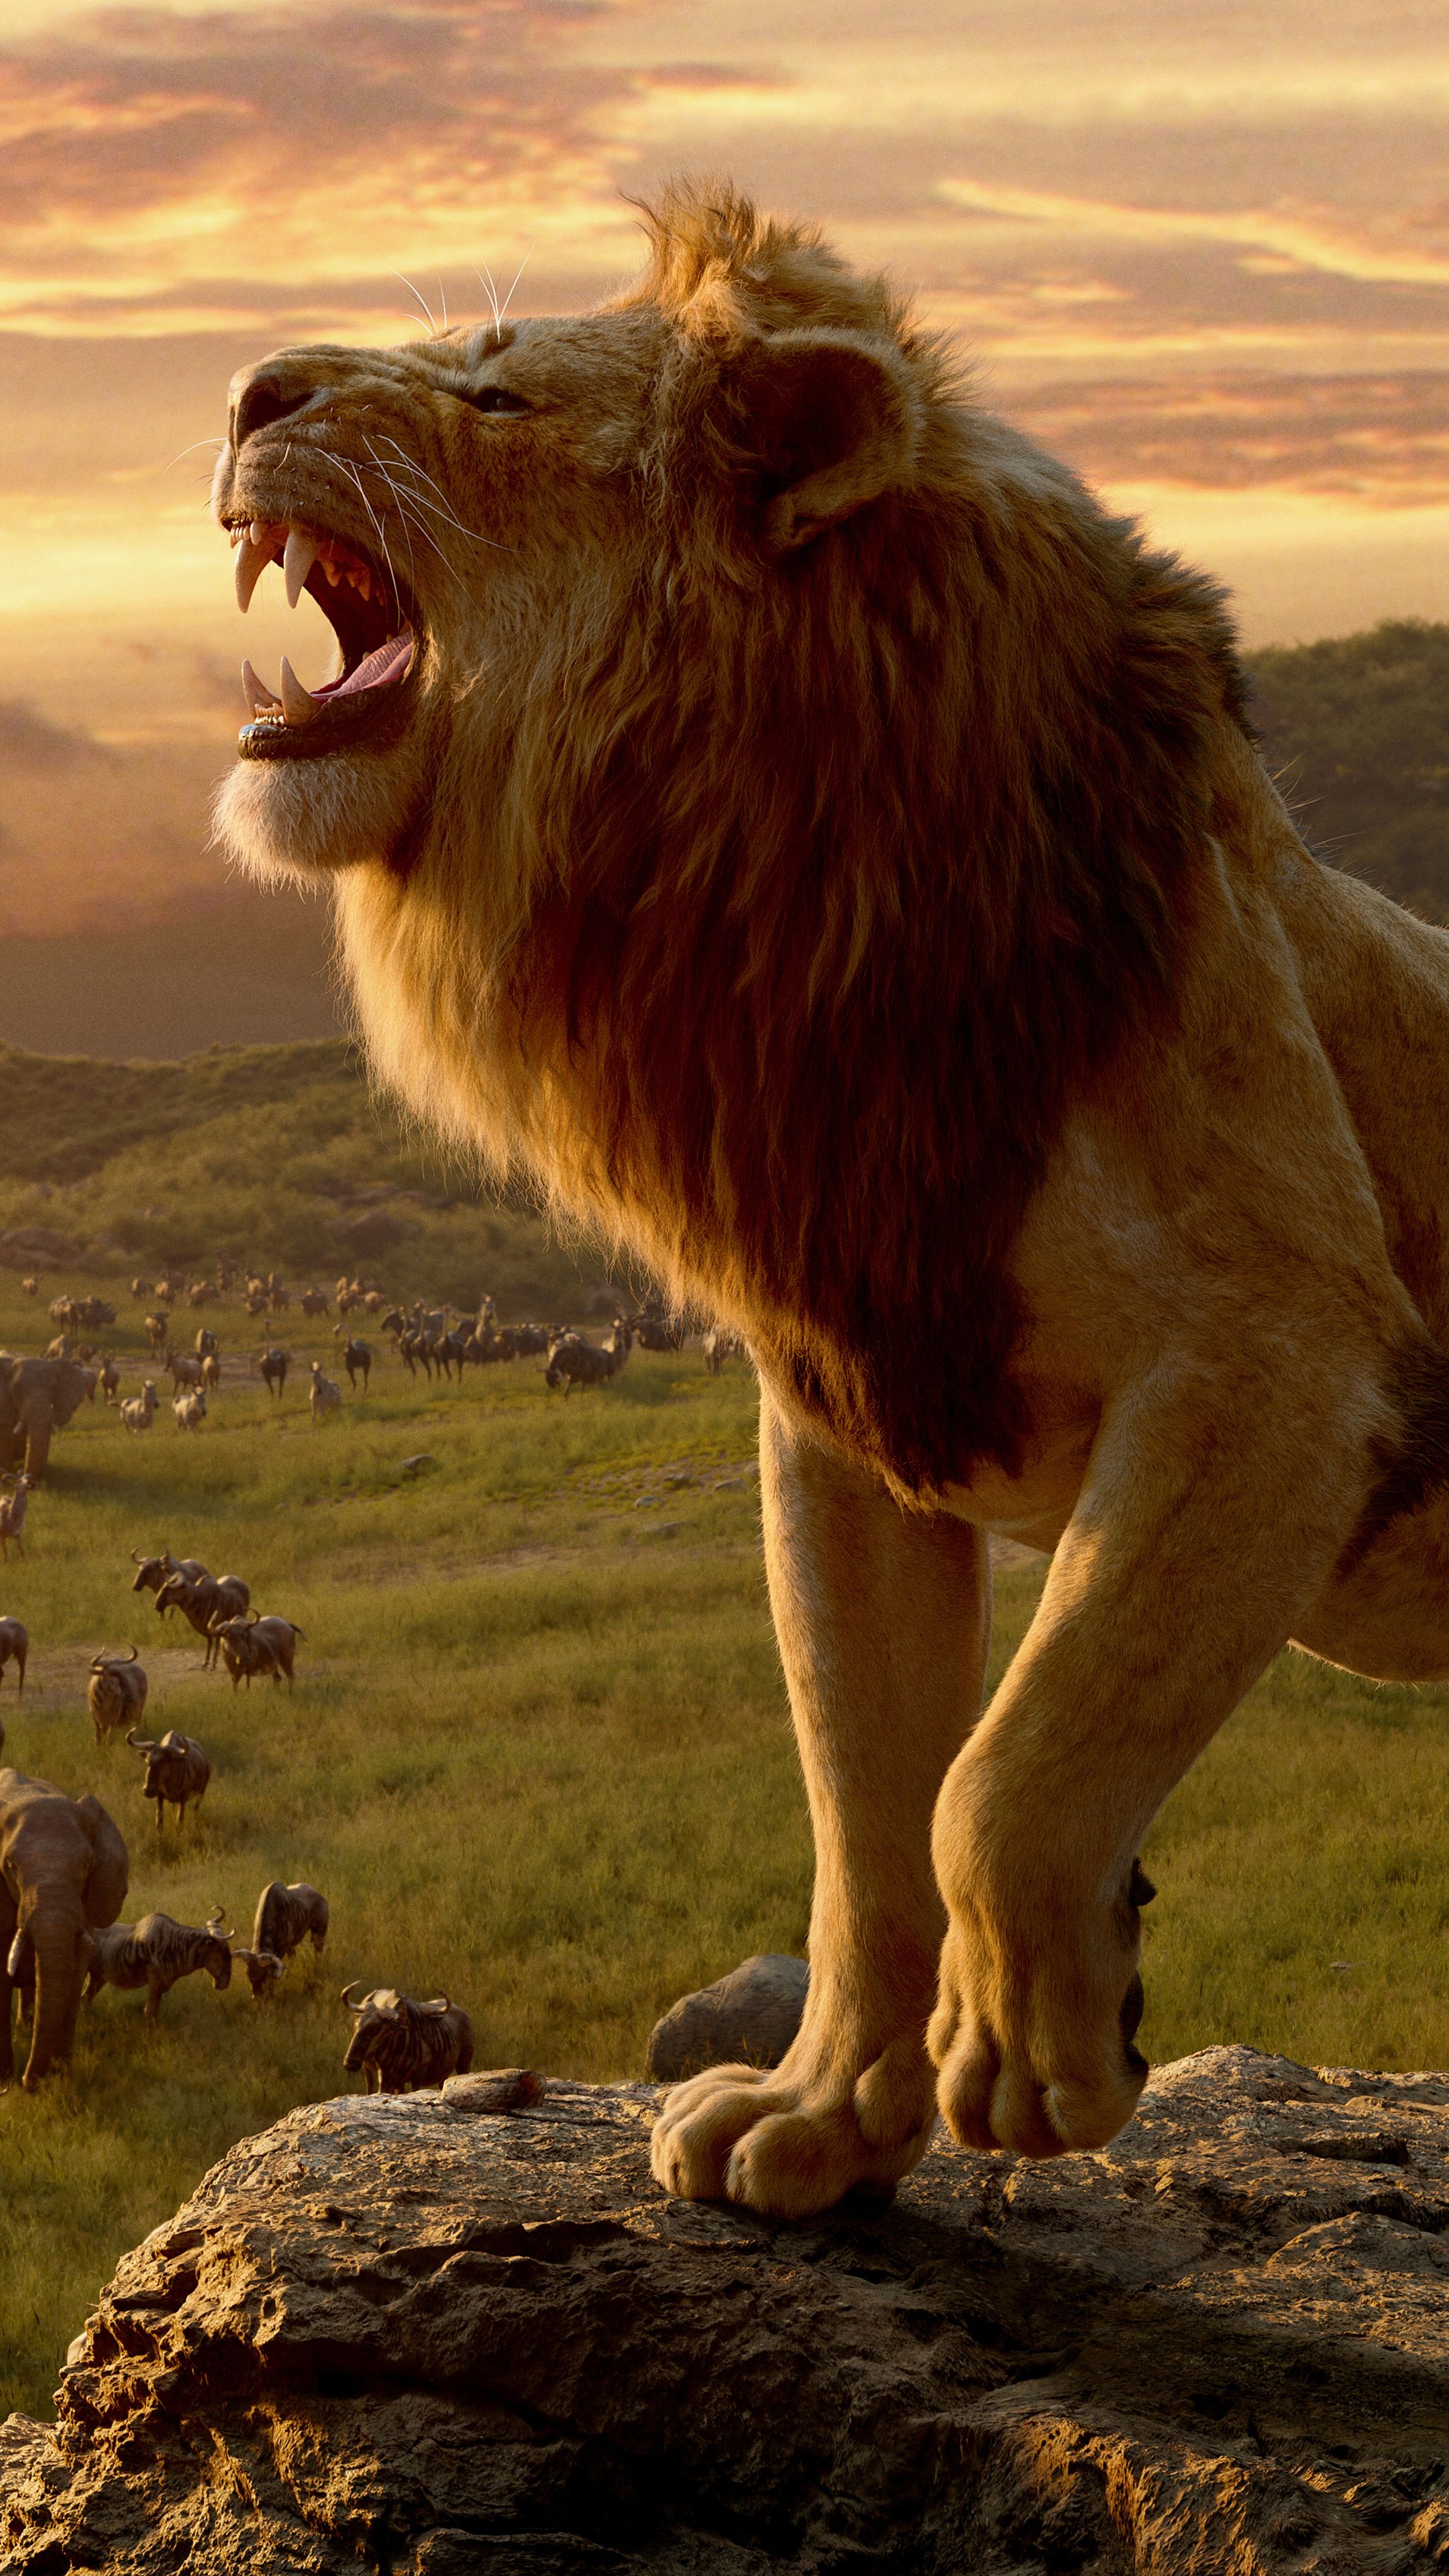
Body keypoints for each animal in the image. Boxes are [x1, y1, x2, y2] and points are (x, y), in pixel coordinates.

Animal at [211, 181, 1449, 2216]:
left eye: (494, 396)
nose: (245, 389)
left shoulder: (1280, 1354)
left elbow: (1001, 1773)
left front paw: (1041, 2049)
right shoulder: (844, 1396)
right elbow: (865, 1807)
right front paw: (819, 2118)